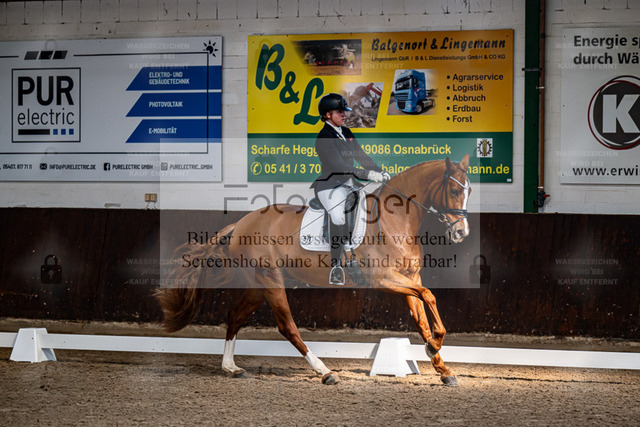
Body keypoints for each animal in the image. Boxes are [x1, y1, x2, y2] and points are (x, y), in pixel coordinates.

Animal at [155, 155, 471, 386]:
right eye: (455, 190)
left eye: (468, 191)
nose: (461, 232)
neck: (394, 221)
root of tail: (240, 224)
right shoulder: (383, 279)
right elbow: (429, 296)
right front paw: (434, 346)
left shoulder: (408, 279)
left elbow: (421, 317)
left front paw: (442, 367)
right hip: (271, 280)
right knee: (287, 326)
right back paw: (324, 371)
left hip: (258, 285)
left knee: (234, 316)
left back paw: (231, 367)